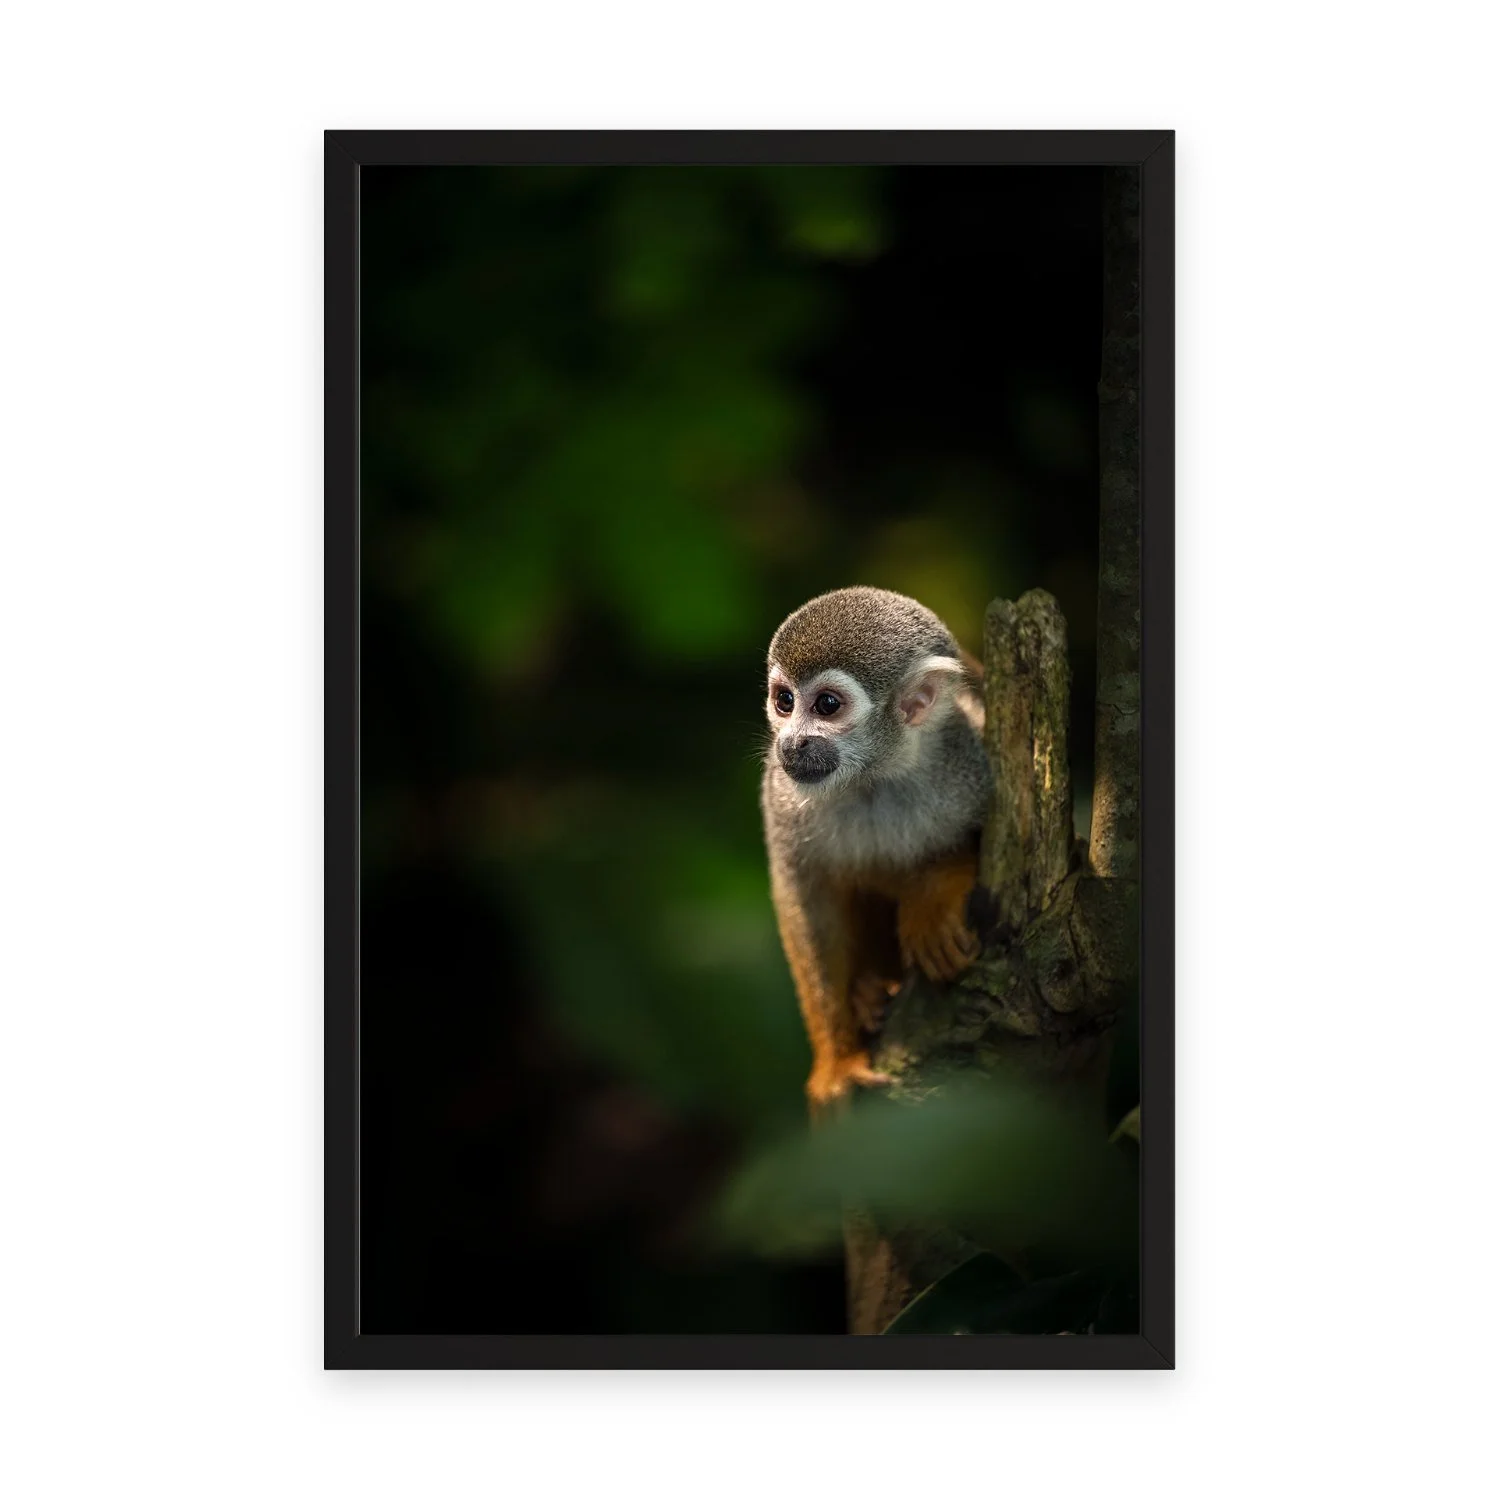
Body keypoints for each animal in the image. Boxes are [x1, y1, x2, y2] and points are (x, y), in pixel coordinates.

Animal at [760, 586, 992, 1113]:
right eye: (784, 701)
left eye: (827, 705)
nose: (791, 743)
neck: (874, 778)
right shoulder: (782, 796)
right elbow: (808, 903)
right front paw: (836, 1062)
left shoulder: (973, 755)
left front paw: (932, 902)